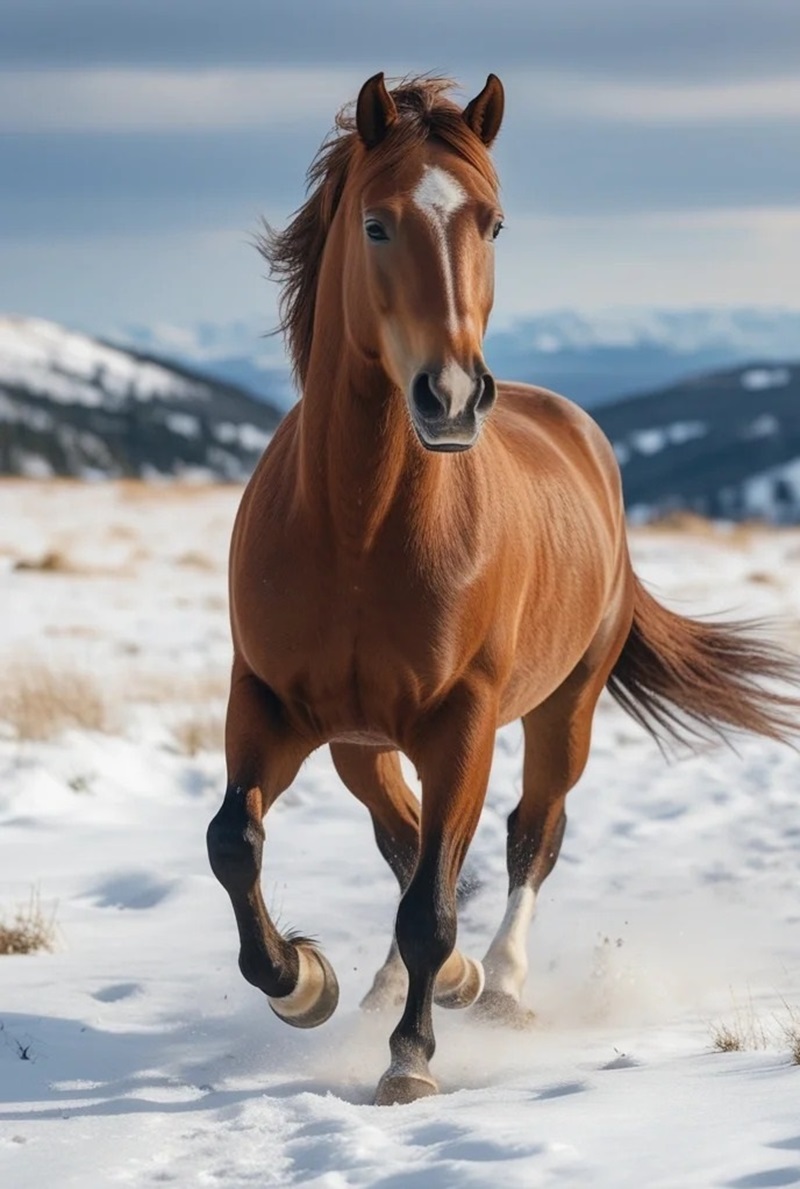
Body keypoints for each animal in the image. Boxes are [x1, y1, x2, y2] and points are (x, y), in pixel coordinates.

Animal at [208, 71, 798, 1103]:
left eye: (491, 223)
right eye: (376, 224)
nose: (450, 397)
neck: (356, 533)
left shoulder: (464, 722)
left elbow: (432, 904)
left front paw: (410, 1058)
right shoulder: (270, 702)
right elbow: (235, 843)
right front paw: (303, 981)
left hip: (566, 706)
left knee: (532, 834)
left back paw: (501, 982)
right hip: (359, 742)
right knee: (406, 841)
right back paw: (417, 981)